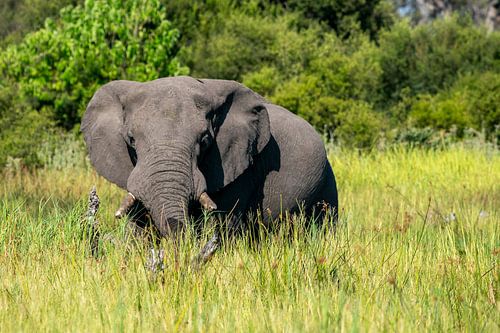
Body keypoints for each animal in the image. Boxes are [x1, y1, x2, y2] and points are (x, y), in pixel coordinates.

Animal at [82, 75, 338, 262]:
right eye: (131, 140)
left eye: (205, 140)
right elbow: (138, 223)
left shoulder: (240, 167)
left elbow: (221, 222)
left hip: (326, 183)